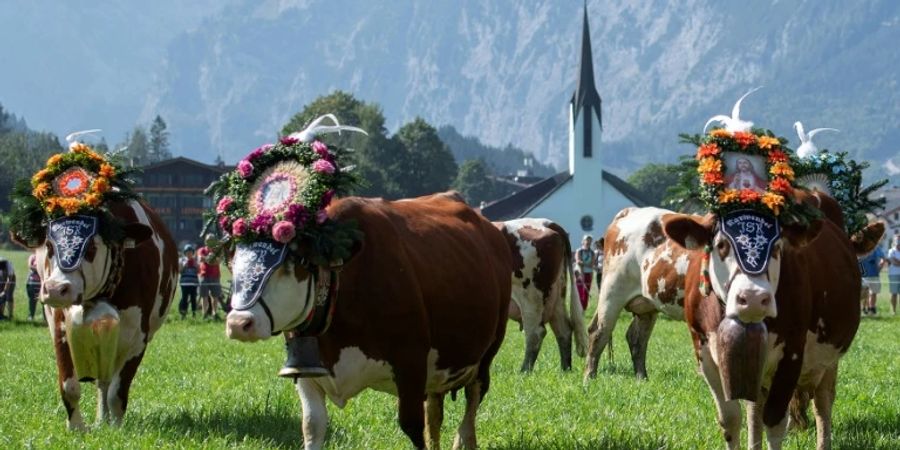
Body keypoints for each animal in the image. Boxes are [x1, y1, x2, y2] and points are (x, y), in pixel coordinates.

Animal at [8, 135, 178, 430]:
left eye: (91, 247)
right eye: (49, 246)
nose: (57, 289)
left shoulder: (138, 336)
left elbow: (118, 391)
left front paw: (117, 428)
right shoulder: (59, 324)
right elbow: (70, 385)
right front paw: (76, 427)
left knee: (107, 382)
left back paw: (106, 419)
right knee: (102, 379)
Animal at [207, 116, 510, 450]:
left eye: (294, 262)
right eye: (234, 259)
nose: (239, 324)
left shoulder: (411, 365)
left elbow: (412, 427)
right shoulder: (306, 371)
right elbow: (312, 426)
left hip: (486, 353)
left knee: (470, 409)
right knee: (436, 413)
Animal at [492, 219, 592, 372]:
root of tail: (546, 223)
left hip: (531, 295)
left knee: (536, 333)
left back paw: (524, 371)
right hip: (557, 296)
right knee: (563, 330)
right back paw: (565, 369)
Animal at [580, 207, 700, 380]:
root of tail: (631, 210)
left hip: (646, 305)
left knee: (636, 338)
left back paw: (642, 378)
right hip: (612, 292)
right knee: (598, 331)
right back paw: (589, 377)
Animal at [660, 193, 880, 450]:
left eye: (776, 247)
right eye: (722, 245)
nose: (754, 298)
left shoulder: (792, 354)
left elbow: (774, 422)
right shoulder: (704, 353)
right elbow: (731, 419)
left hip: (828, 360)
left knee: (823, 404)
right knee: (755, 410)